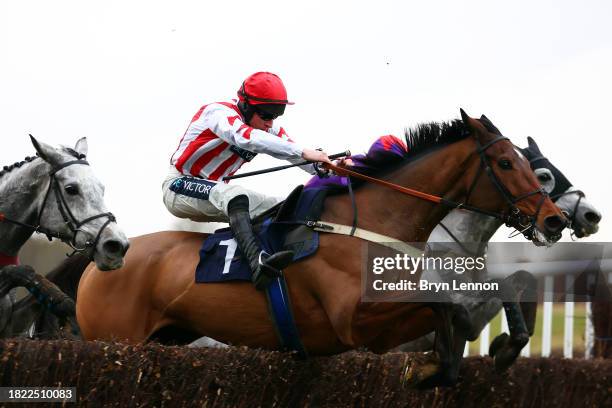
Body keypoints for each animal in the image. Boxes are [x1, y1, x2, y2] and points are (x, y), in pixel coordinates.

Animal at [77, 111, 568, 386]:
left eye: (527, 164)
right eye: (506, 163)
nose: (555, 220)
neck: (372, 221)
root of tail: (103, 258)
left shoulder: (378, 335)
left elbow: (474, 300)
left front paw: (496, 349)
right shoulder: (352, 322)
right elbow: (447, 304)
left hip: (169, 337)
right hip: (115, 334)